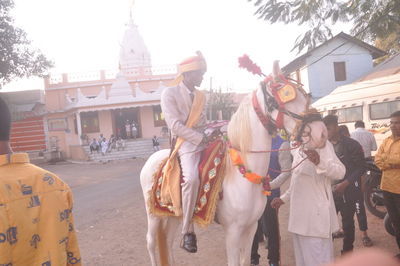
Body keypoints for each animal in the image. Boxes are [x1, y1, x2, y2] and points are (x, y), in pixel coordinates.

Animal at [141, 62, 328, 266]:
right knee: (151, 242)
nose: (321, 133)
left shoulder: (251, 227)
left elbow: (245, 260)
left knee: (167, 241)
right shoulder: (232, 231)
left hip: (174, 213)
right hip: (153, 215)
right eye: (285, 96)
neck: (242, 175)